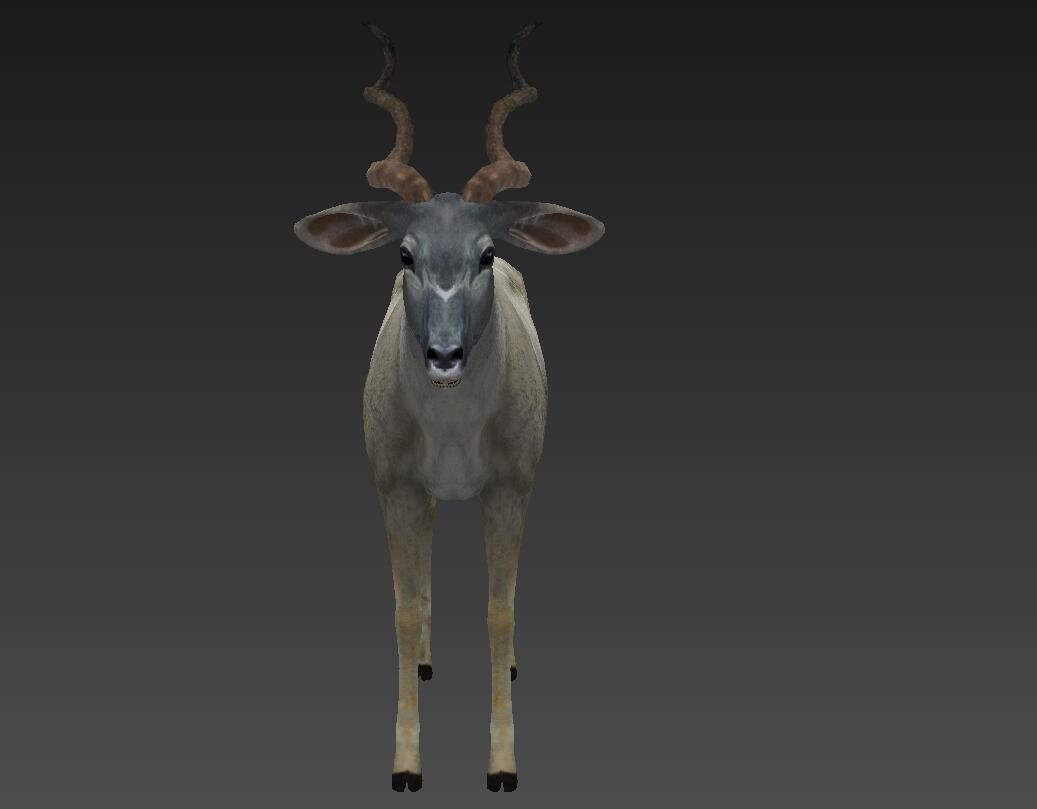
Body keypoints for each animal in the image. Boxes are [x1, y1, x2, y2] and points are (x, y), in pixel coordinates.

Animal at [294, 22, 604, 792]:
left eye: (486, 252)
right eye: (404, 253)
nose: (443, 356)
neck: (454, 432)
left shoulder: (510, 490)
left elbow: (498, 612)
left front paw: (502, 764)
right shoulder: (396, 487)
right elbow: (404, 612)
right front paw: (405, 763)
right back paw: (430, 660)